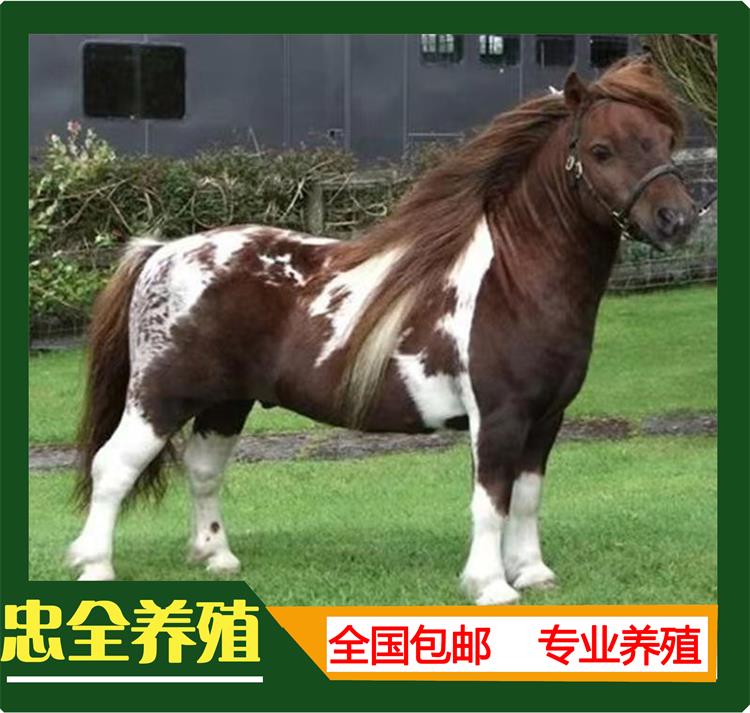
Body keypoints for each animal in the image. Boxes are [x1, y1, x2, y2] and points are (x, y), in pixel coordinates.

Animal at [68, 56, 696, 604]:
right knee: (113, 468)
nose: (678, 220)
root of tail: (161, 252)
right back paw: (95, 566)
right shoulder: (499, 417)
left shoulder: (545, 419)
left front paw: (533, 573)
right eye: (601, 150)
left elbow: (526, 497)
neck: (514, 280)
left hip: (226, 402)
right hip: (160, 398)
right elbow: (490, 501)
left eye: (666, 140)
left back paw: (216, 556)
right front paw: (491, 586)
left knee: (202, 470)